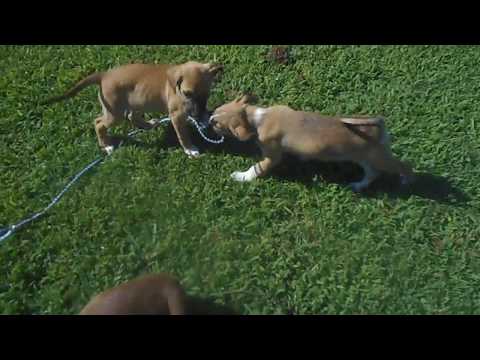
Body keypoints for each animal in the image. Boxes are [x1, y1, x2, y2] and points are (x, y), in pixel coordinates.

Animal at [41, 62, 223, 158]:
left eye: (206, 94)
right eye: (187, 94)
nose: (197, 115)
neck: (175, 88)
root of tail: (103, 75)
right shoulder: (177, 116)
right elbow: (183, 135)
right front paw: (190, 149)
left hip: (135, 102)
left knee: (131, 116)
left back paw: (148, 124)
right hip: (115, 113)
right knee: (99, 123)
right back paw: (106, 145)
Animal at [211, 95, 416, 191]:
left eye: (217, 124)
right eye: (217, 109)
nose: (208, 120)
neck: (257, 117)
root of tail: (379, 126)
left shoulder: (272, 156)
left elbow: (256, 168)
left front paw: (242, 177)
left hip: (379, 158)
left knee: (404, 166)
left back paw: (406, 181)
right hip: (364, 158)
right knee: (372, 173)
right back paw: (358, 185)